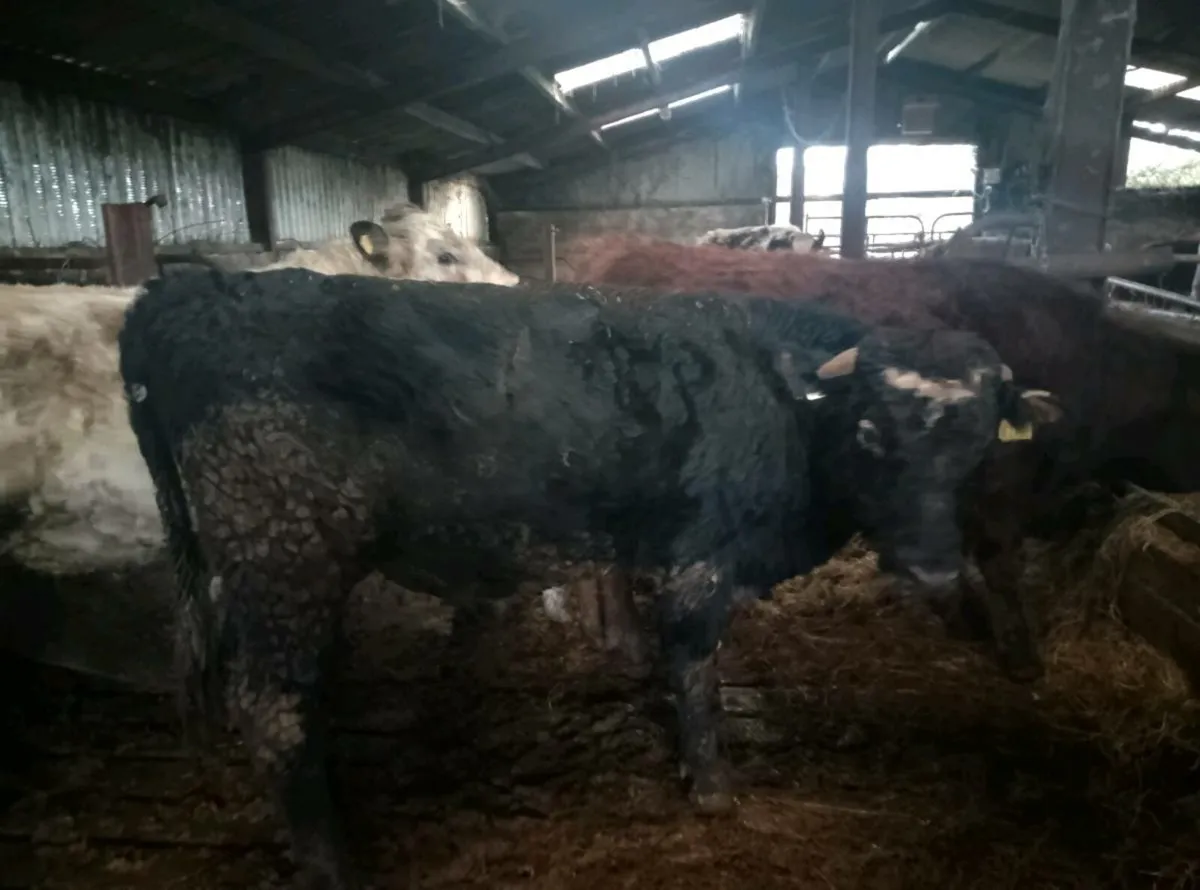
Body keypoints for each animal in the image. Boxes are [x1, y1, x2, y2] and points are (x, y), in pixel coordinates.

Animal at [118, 267, 1058, 890]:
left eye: (978, 444)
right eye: (871, 432)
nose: (933, 566)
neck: (782, 398)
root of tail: (189, 287)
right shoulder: (702, 553)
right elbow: (694, 667)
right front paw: (712, 788)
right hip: (282, 558)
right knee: (272, 708)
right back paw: (329, 861)